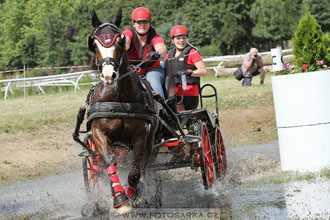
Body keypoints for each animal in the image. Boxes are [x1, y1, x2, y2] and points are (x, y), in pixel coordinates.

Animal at [86, 7, 159, 214]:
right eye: (95, 44)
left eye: (119, 41)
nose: (109, 75)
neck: (118, 98)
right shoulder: (98, 132)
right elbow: (109, 161)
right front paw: (119, 199)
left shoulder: (141, 137)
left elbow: (135, 171)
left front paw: (132, 196)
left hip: (150, 141)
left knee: (144, 165)